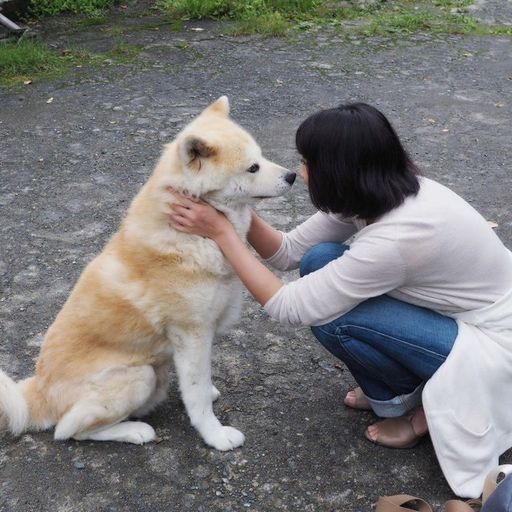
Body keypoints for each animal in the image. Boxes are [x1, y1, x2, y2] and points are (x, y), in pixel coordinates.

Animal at [0, 98, 296, 450]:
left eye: (261, 157)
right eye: (253, 168)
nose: (293, 176)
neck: (190, 235)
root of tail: (38, 392)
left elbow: (200, 381)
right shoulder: (192, 333)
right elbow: (197, 394)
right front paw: (215, 435)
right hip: (141, 375)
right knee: (69, 429)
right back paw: (136, 431)